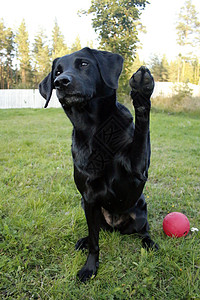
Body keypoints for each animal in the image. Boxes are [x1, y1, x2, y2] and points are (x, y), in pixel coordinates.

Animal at [38, 47, 158, 282]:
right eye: (57, 71)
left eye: (84, 64)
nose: (60, 82)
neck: (96, 130)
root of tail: (115, 226)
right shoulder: (89, 198)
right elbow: (95, 241)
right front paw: (90, 267)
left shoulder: (138, 171)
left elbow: (142, 130)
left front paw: (141, 91)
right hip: (86, 207)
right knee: (97, 231)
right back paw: (84, 240)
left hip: (140, 211)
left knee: (145, 230)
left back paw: (149, 242)